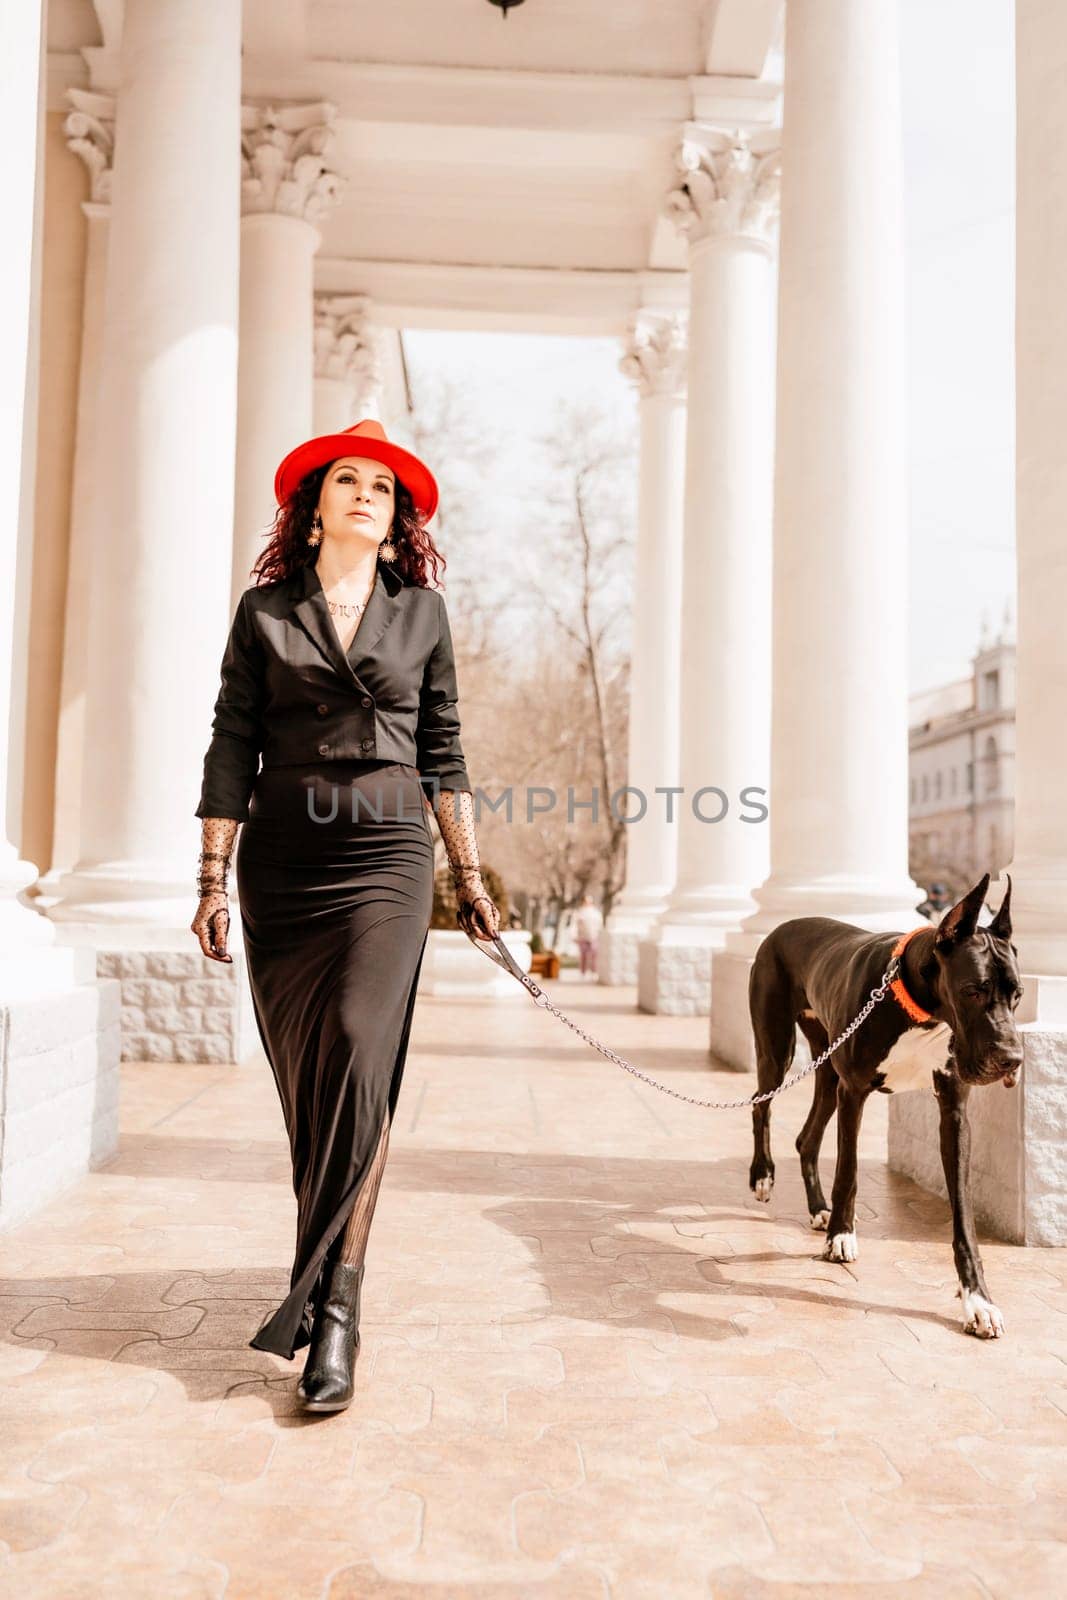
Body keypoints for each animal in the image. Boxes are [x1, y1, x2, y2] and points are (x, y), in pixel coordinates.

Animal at [748, 876, 1023, 1337]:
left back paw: (818, 1210)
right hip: (777, 1052)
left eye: (1017, 995)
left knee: (807, 1138)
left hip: (827, 1069)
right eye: (972, 991)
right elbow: (849, 1172)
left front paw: (978, 1300)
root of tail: (786, 925)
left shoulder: (953, 1111)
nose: (1012, 1059)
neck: (921, 1011)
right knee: (759, 1103)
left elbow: (963, 1215)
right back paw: (763, 1176)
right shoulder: (854, 1093)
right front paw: (841, 1236)